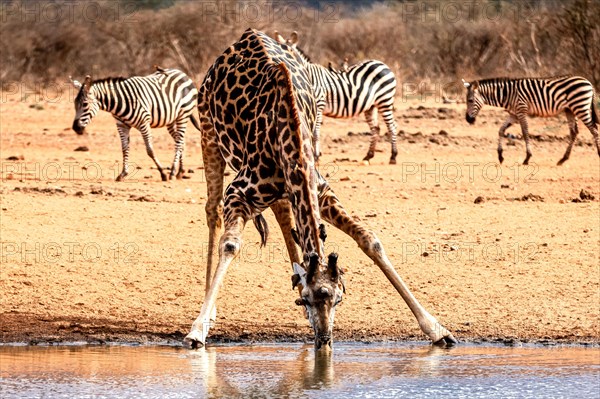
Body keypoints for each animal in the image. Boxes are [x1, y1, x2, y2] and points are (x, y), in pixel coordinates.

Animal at [70, 66, 200, 182]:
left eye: (85, 104)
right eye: (75, 104)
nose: (75, 128)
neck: (120, 102)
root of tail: (182, 73)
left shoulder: (144, 123)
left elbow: (150, 150)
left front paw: (163, 173)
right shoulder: (121, 125)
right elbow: (125, 149)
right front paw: (123, 173)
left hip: (183, 115)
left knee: (179, 142)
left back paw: (172, 172)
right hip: (171, 119)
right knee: (181, 141)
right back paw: (180, 171)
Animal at [276, 30, 398, 166]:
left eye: (287, 52)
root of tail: (382, 64)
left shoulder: (319, 104)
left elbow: (315, 132)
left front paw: (316, 156)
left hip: (385, 100)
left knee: (392, 127)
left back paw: (393, 156)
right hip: (371, 106)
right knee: (376, 128)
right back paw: (368, 156)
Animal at [462, 76, 596, 165]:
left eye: (470, 100)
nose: (468, 120)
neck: (507, 94)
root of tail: (589, 82)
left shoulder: (521, 111)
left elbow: (525, 133)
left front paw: (527, 158)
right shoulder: (514, 115)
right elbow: (501, 130)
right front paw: (500, 156)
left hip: (580, 107)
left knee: (594, 130)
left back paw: (597, 154)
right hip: (570, 110)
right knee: (574, 132)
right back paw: (563, 159)